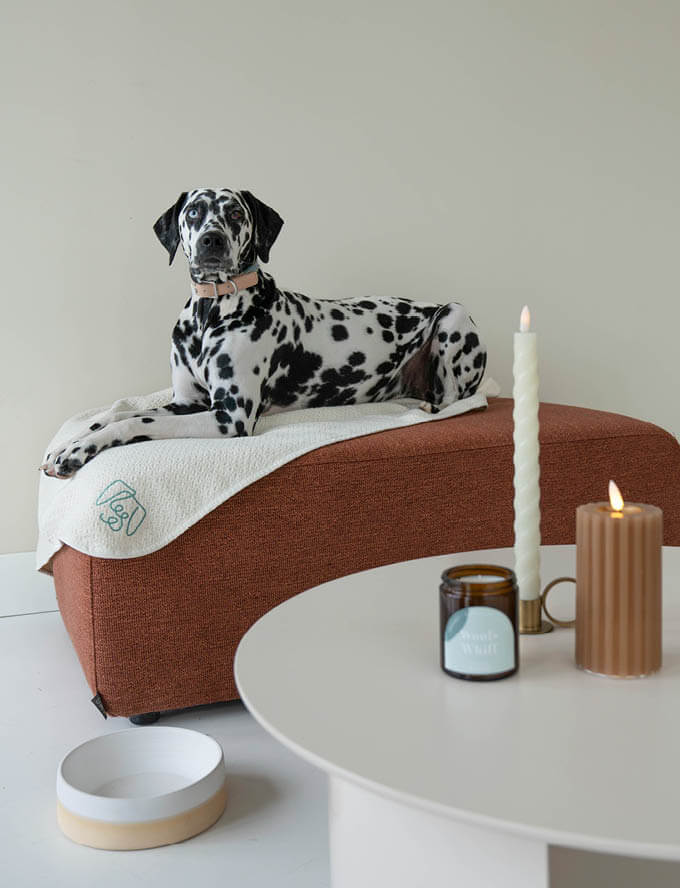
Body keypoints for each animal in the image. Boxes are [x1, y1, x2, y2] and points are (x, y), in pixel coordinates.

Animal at [42, 188, 486, 478]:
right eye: (193, 212)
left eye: (236, 214)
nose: (212, 240)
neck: (210, 314)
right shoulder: (187, 402)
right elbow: (119, 413)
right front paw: (70, 442)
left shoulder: (229, 417)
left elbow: (133, 423)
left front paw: (79, 450)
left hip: (454, 315)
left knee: (454, 398)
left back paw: (430, 407)